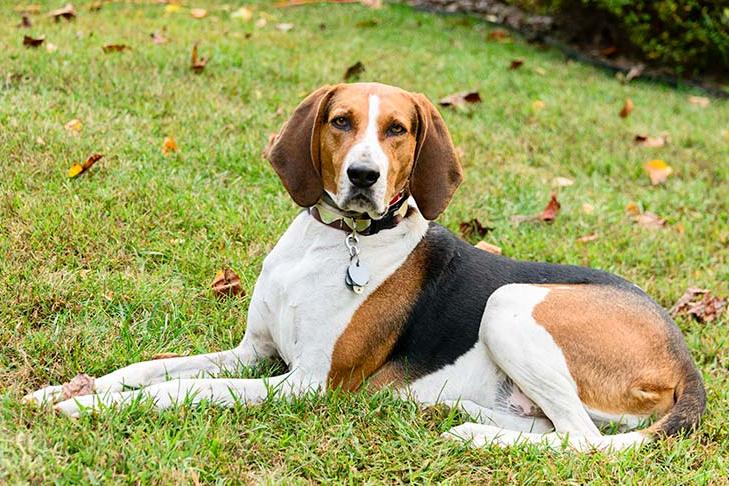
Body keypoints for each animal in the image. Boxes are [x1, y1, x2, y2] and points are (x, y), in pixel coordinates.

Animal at [25, 81, 704, 450]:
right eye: (341, 121)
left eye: (398, 129)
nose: (363, 176)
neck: (332, 245)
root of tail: (684, 357)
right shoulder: (254, 352)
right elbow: (146, 369)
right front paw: (70, 389)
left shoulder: (303, 383)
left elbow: (184, 390)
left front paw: (90, 410)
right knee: (556, 428)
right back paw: (456, 415)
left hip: (509, 302)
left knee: (584, 441)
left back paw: (476, 435)